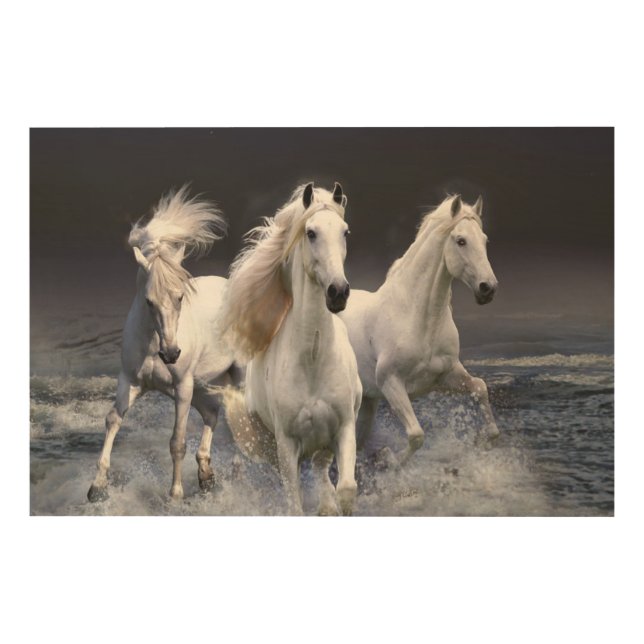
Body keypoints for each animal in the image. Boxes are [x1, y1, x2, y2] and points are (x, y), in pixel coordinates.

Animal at [87, 186, 242, 502]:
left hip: (235, 375)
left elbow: (177, 442)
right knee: (212, 413)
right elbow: (112, 420)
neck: (152, 344)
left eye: (180, 296)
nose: (171, 353)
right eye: (149, 301)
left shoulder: (182, 387)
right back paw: (206, 475)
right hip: (202, 384)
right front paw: (97, 487)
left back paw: (236, 472)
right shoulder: (131, 381)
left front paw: (175, 495)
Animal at [220, 182, 362, 516]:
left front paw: (337, 506)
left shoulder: (344, 428)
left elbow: (347, 489)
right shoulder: (286, 445)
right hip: (272, 446)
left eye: (345, 232)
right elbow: (294, 504)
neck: (312, 360)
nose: (338, 292)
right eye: (310, 232)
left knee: (322, 470)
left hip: (323, 443)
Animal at [339, 194, 499, 465]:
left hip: (367, 403)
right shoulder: (391, 384)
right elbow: (416, 435)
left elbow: (480, 388)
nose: (488, 288)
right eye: (461, 240)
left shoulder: (445, 375)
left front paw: (484, 440)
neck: (419, 320)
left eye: (485, 240)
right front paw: (389, 459)